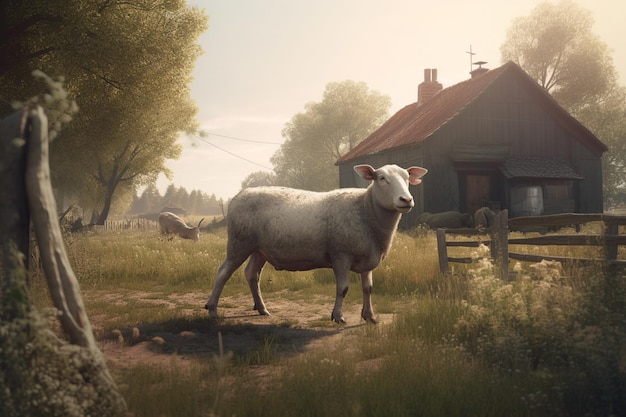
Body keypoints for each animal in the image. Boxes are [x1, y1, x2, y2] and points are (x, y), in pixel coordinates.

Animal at [204, 162, 424, 322]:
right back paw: (213, 309)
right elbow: (343, 288)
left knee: (251, 275)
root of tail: (238, 195)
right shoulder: (341, 255)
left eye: (407, 179)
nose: (406, 200)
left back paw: (262, 309)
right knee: (222, 273)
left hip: (259, 250)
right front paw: (337, 316)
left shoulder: (367, 256)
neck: (365, 210)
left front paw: (369, 316)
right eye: (382, 178)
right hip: (239, 242)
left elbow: (368, 288)